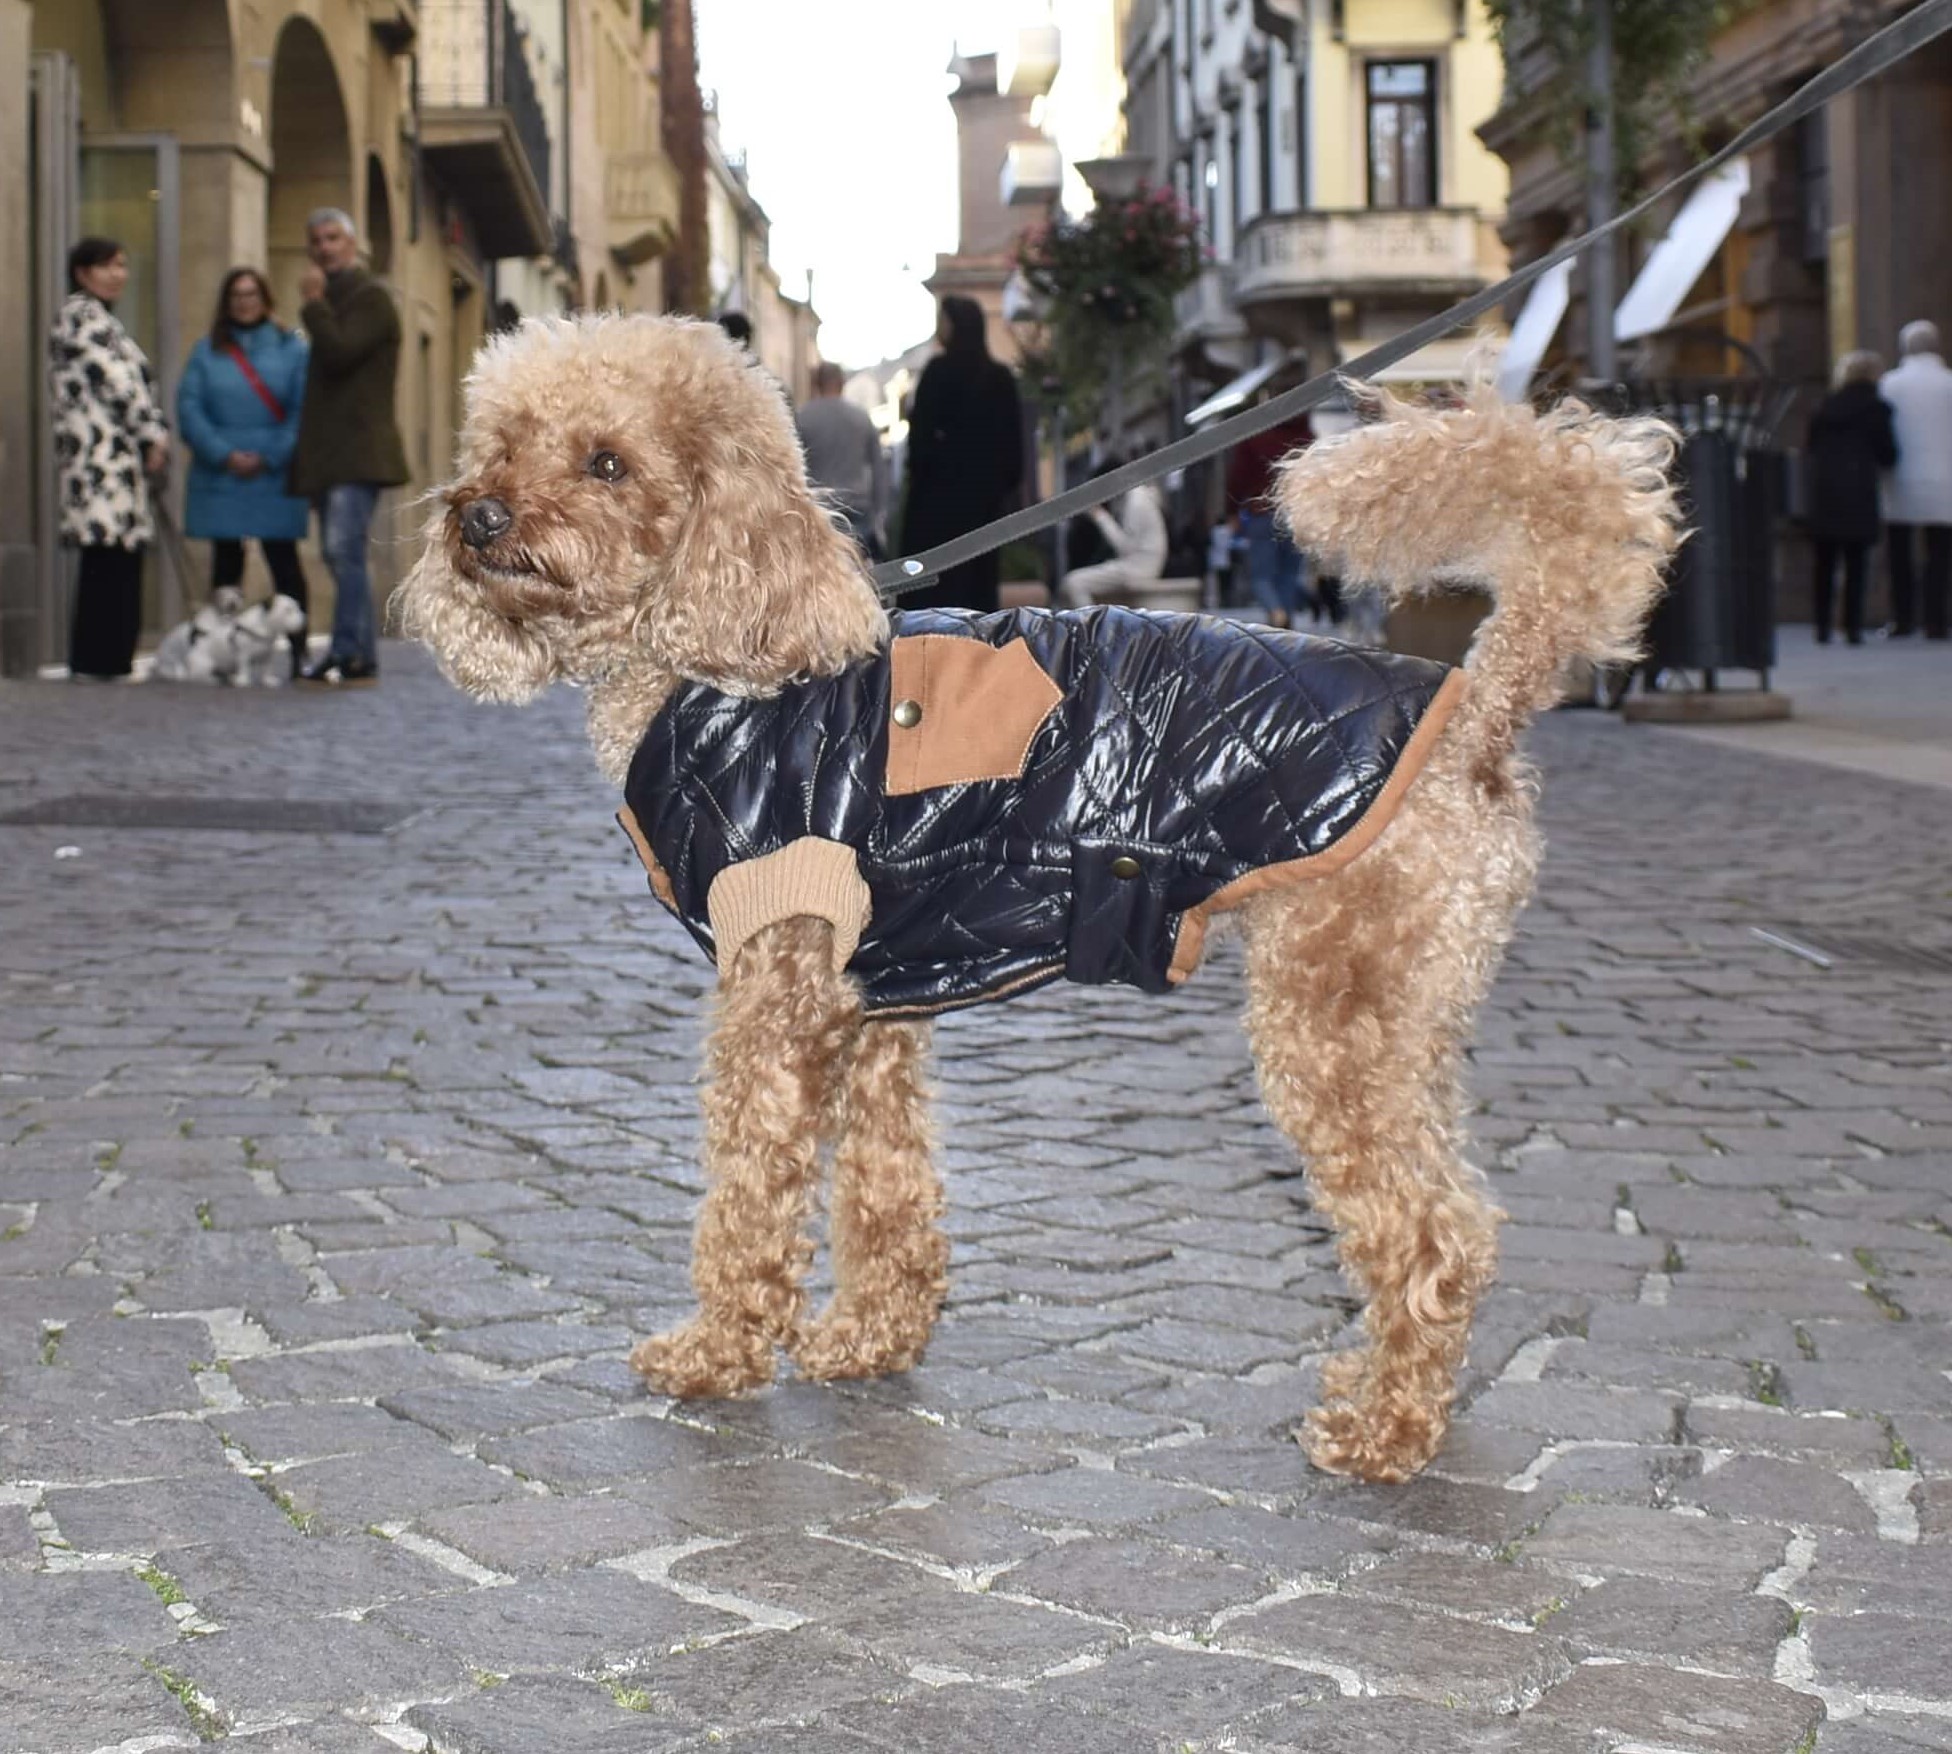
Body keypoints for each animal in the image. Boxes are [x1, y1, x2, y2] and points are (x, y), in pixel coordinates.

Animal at [400, 316, 1678, 1482]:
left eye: (607, 461)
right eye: (500, 442)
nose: (477, 516)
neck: (729, 657)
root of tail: (1476, 709)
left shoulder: (776, 995)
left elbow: (751, 1193)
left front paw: (717, 1350)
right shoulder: (874, 1004)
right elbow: (885, 1187)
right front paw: (870, 1336)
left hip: (1330, 1022)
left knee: (1432, 1232)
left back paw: (1384, 1433)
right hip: (1407, 1020)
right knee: (1449, 1213)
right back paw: (1380, 1391)